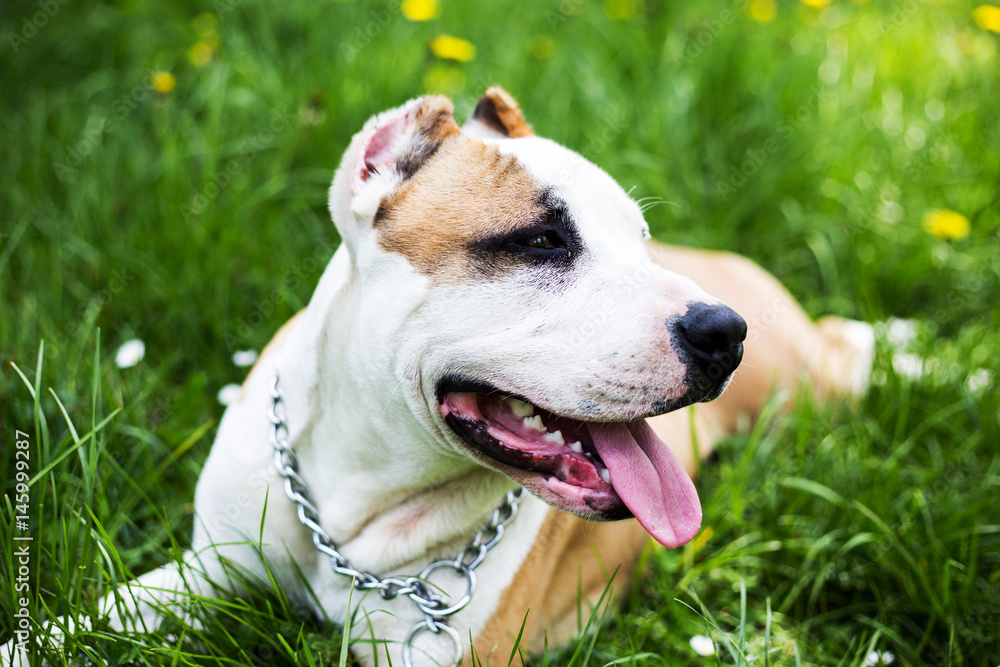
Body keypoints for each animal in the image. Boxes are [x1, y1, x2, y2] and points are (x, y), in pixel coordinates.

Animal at [1, 88, 876, 667]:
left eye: (640, 240)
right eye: (541, 240)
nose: (721, 331)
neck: (348, 499)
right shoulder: (203, 570)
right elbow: (73, 621)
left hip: (801, 383)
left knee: (845, 345)